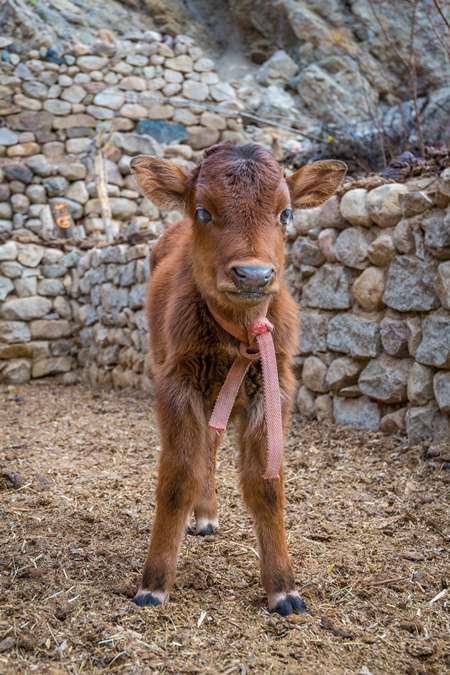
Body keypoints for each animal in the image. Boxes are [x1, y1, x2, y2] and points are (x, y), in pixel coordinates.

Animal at [130, 144, 348, 616]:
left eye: (285, 213)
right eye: (203, 211)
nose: (253, 275)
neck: (239, 337)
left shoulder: (274, 388)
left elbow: (266, 486)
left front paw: (284, 589)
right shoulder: (176, 385)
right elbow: (178, 476)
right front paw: (154, 583)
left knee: (211, 447)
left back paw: (207, 515)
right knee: (202, 454)